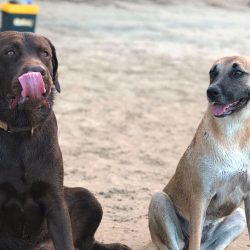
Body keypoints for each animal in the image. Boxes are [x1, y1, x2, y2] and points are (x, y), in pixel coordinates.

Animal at [148, 56, 250, 250]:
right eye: (212, 73)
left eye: (237, 72)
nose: (211, 92)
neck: (234, 132)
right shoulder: (200, 197)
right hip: (159, 200)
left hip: (238, 217)